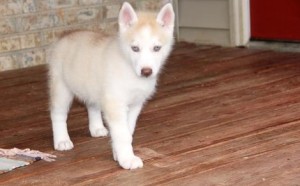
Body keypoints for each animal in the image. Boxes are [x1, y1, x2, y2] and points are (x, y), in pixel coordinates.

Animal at [48, 1, 175, 170]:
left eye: (157, 48)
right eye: (135, 48)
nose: (146, 71)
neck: (130, 70)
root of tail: (65, 36)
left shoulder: (135, 105)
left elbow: (128, 131)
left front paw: (118, 154)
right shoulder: (115, 104)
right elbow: (122, 134)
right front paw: (127, 159)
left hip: (93, 88)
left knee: (92, 106)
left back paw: (96, 128)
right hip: (61, 88)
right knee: (57, 114)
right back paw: (61, 140)